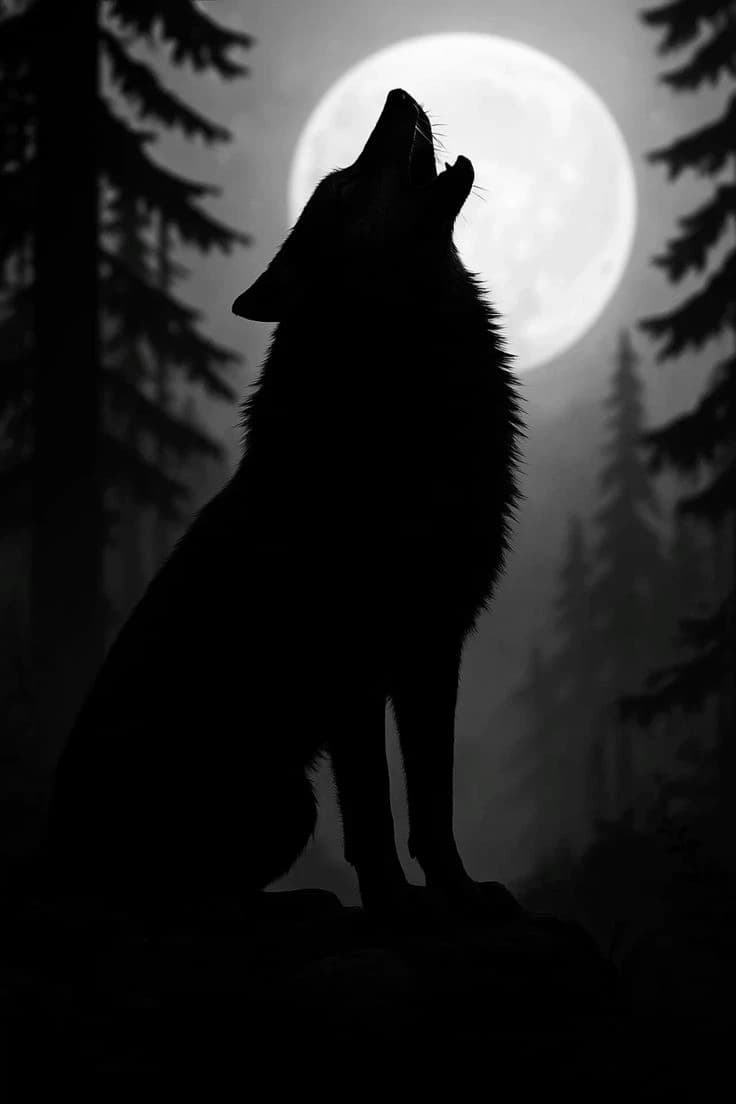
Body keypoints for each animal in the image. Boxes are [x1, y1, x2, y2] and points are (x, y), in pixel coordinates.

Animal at [46, 89, 523, 920]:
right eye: (342, 186)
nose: (396, 94)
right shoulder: (352, 666)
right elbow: (373, 810)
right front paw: (393, 902)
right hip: (281, 802)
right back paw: (302, 903)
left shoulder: (433, 646)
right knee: (181, 899)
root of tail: (48, 868)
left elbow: (433, 802)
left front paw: (459, 891)